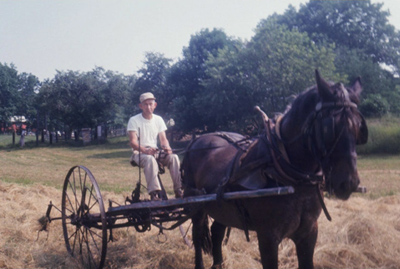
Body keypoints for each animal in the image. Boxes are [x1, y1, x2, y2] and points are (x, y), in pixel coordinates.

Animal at [183, 70, 368, 266]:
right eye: (329, 128)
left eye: (359, 128)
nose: (349, 183)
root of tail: (196, 140)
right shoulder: (268, 237)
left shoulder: (309, 233)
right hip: (196, 205)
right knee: (197, 236)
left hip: (222, 209)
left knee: (217, 232)